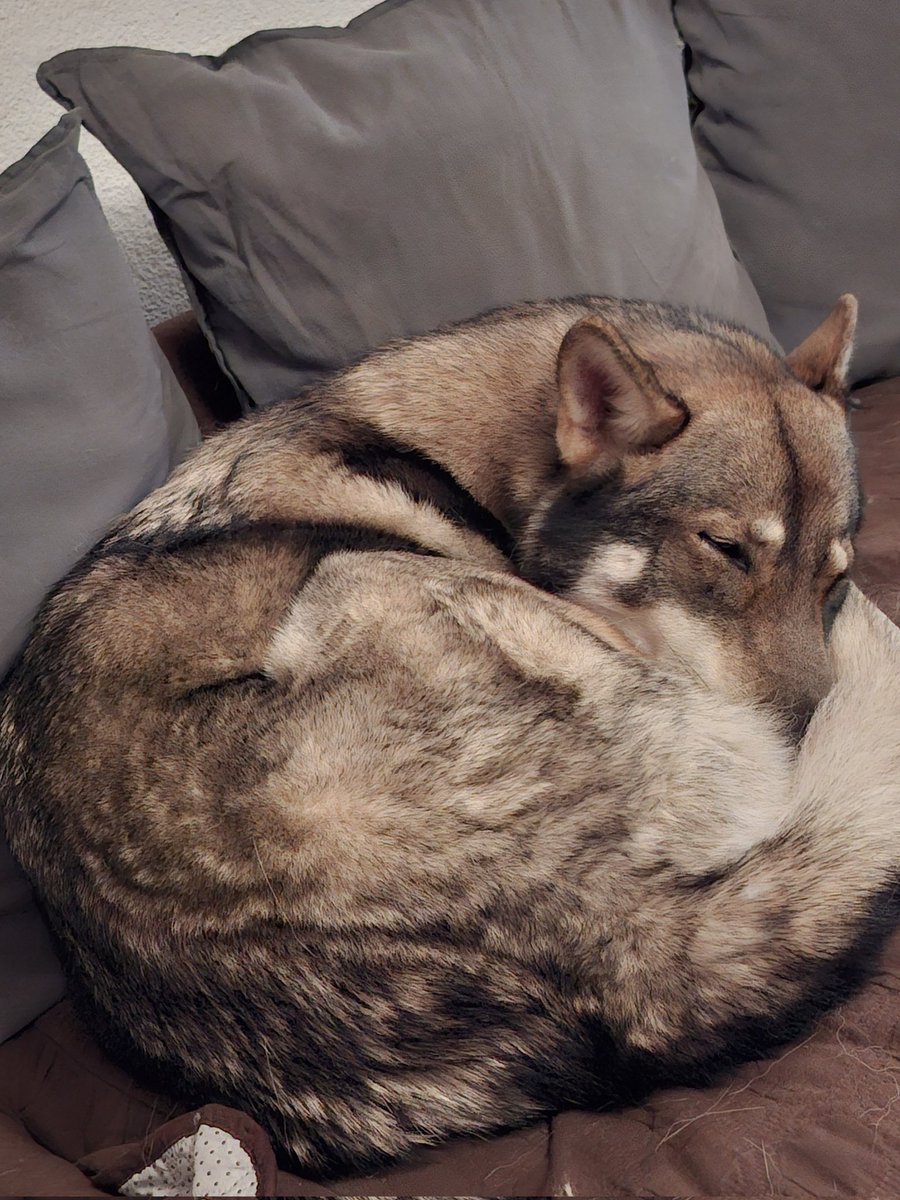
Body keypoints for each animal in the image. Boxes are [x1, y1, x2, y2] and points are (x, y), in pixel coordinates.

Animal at [2, 294, 898, 1180]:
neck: (458, 455)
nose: (803, 728)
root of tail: (603, 931)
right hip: (356, 570)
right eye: (724, 548)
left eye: (833, 577)